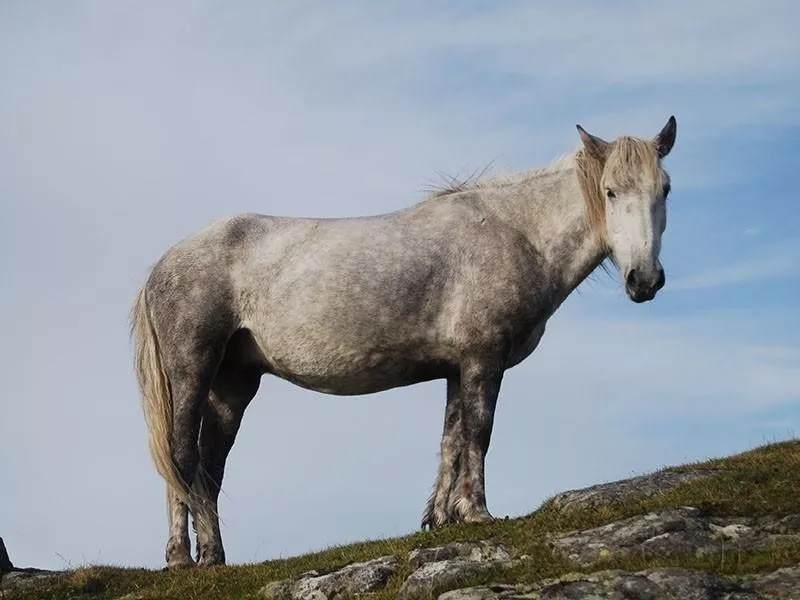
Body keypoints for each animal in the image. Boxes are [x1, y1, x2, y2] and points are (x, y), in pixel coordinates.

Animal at [130, 116, 676, 568]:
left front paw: (442, 518)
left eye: (665, 189)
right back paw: (183, 558)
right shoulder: (483, 359)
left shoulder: (458, 367)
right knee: (182, 456)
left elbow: (451, 440)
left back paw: (212, 556)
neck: (515, 233)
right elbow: (479, 433)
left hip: (234, 385)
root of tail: (165, 261)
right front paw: (477, 512)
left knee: (209, 466)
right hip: (191, 372)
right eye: (610, 191)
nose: (645, 280)